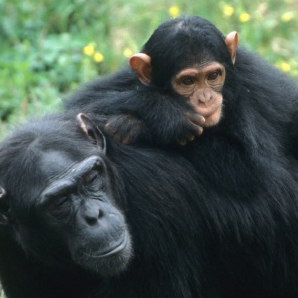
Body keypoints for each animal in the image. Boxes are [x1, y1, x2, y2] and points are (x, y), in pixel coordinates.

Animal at [64, 15, 298, 296]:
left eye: (213, 76)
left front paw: (141, 124)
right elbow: (81, 103)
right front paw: (164, 114)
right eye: (187, 82)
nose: (206, 98)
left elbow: (248, 170)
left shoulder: (246, 90)